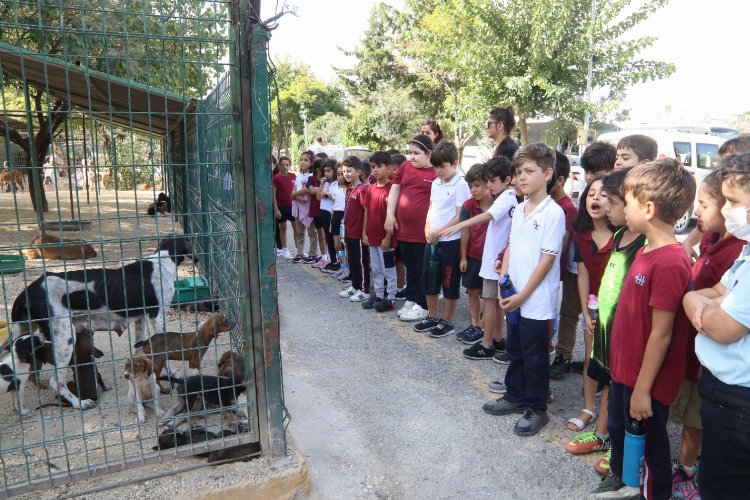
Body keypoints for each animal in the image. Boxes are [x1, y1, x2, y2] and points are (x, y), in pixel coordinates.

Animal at [9, 235, 194, 410]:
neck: (163, 260)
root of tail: (28, 291)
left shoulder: (140, 318)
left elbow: (140, 348)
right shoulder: (157, 316)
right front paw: (172, 373)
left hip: (24, 331)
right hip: (65, 339)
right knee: (57, 381)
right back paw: (80, 403)